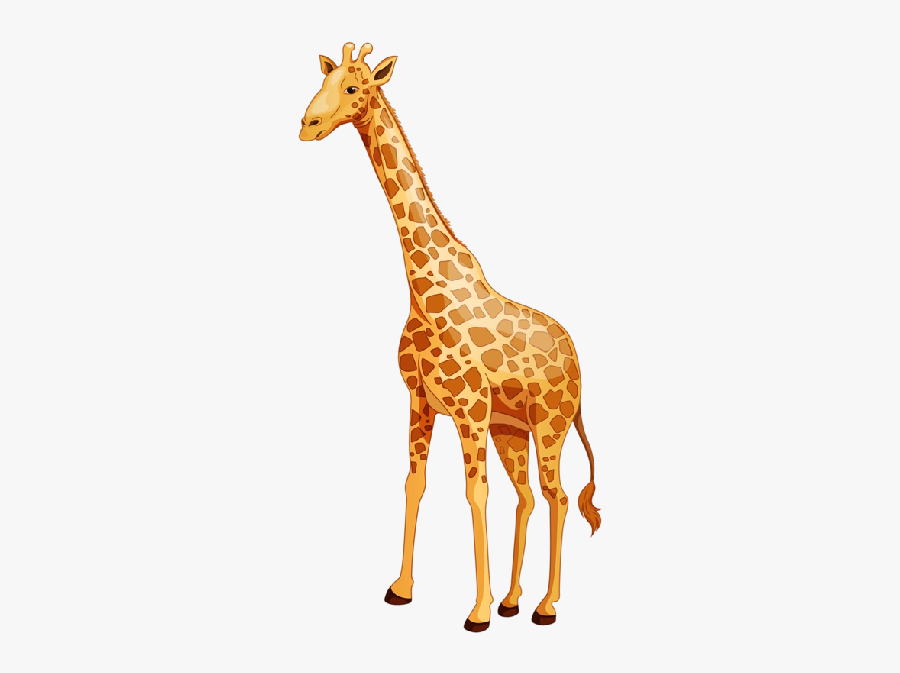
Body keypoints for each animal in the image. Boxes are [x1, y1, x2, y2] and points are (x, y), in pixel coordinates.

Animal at [299, 43, 601, 632]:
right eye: (323, 81)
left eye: (355, 87)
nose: (307, 125)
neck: (422, 286)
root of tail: (579, 362)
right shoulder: (421, 401)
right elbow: (414, 483)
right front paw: (401, 589)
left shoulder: (469, 409)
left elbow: (474, 493)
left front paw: (476, 612)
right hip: (513, 431)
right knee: (528, 497)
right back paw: (514, 599)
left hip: (550, 425)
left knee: (556, 496)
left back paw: (545, 605)